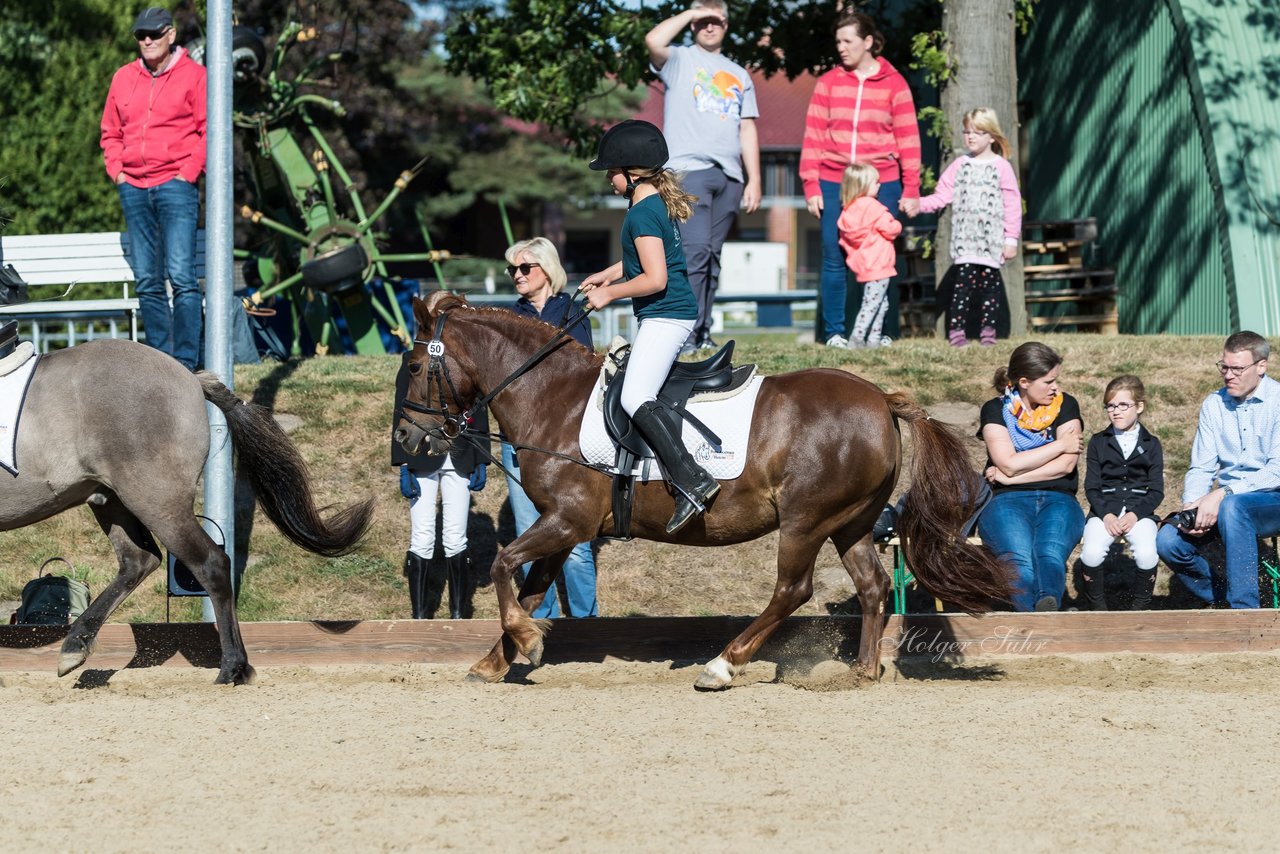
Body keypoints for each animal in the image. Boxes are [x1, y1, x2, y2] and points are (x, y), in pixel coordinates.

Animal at [3, 338, 373, 686]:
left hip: (157, 500)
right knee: (139, 560)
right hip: (112, 499)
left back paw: (233, 669)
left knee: (209, 563)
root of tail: (190, 377)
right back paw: (75, 646)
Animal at [394, 294, 1003, 686]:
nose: (406, 438)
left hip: (805, 521)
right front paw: (499, 658)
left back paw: (723, 665)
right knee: (873, 586)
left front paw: (526, 640)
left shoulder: (567, 521)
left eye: (418, 366)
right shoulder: (565, 529)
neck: (551, 397)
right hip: (850, 521)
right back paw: (862, 670)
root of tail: (881, 398)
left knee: (792, 590)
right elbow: (528, 587)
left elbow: (502, 566)